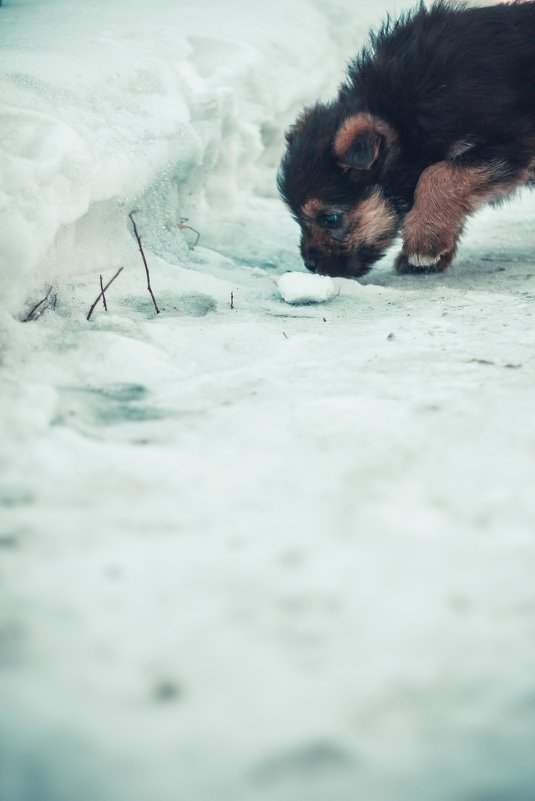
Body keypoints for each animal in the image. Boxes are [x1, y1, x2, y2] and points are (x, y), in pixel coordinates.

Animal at [278, 0, 535, 276]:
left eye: (331, 218)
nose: (310, 265)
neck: (401, 113)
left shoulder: (512, 142)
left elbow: (438, 175)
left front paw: (422, 243)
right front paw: (435, 250)